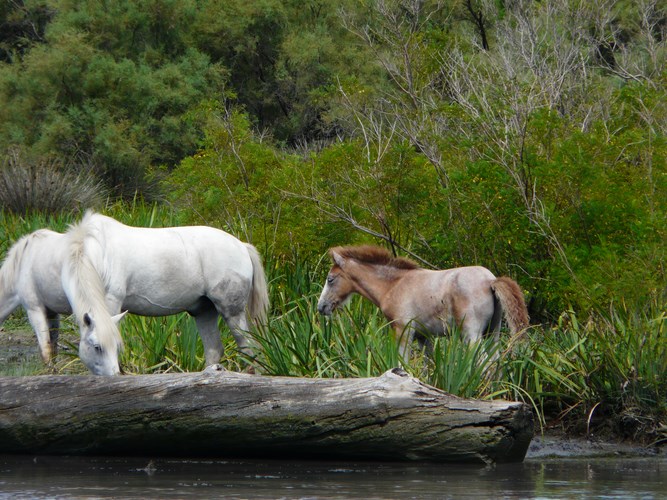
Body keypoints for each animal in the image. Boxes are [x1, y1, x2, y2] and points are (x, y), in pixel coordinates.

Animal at [62, 211, 270, 376]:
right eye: (96, 347)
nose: (112, 376)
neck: (99, 253)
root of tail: (242, 246)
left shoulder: (111, 303)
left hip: (232, 312)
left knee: (250, 348)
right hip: (204, 311)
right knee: (214, 350)